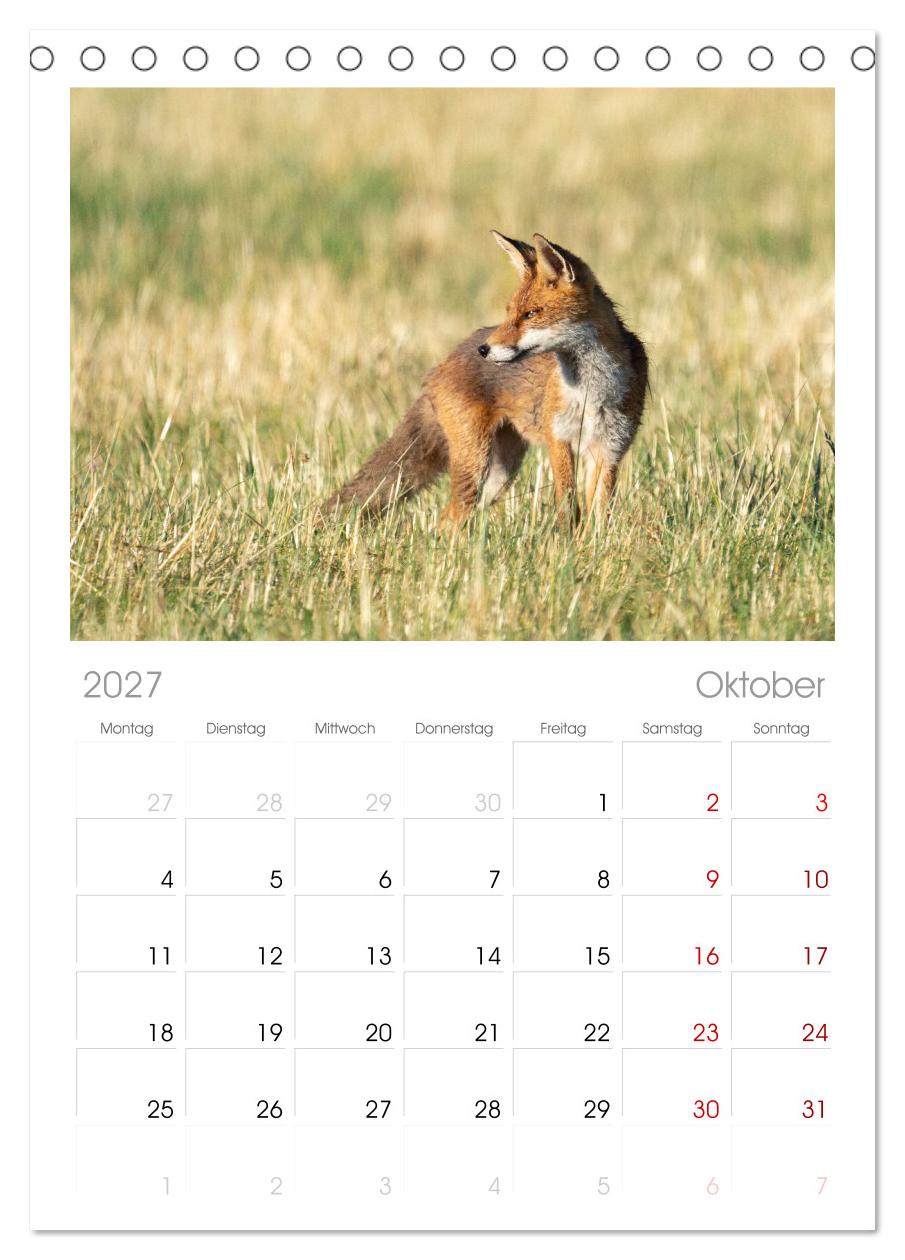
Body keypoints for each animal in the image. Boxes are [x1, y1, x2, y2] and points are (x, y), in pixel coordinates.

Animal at [323, 232, 647, 527]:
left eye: (531, 314)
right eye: (510, 312)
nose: (484, 349)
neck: (591, 390)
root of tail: (440, 365)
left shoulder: (609, 449)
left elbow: (599, 515)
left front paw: (591, 548)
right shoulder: (559, 440)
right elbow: (567, 508)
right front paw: (565, 547)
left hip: (500, 473)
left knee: (457, 517)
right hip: (476, 461)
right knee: (450, 519)